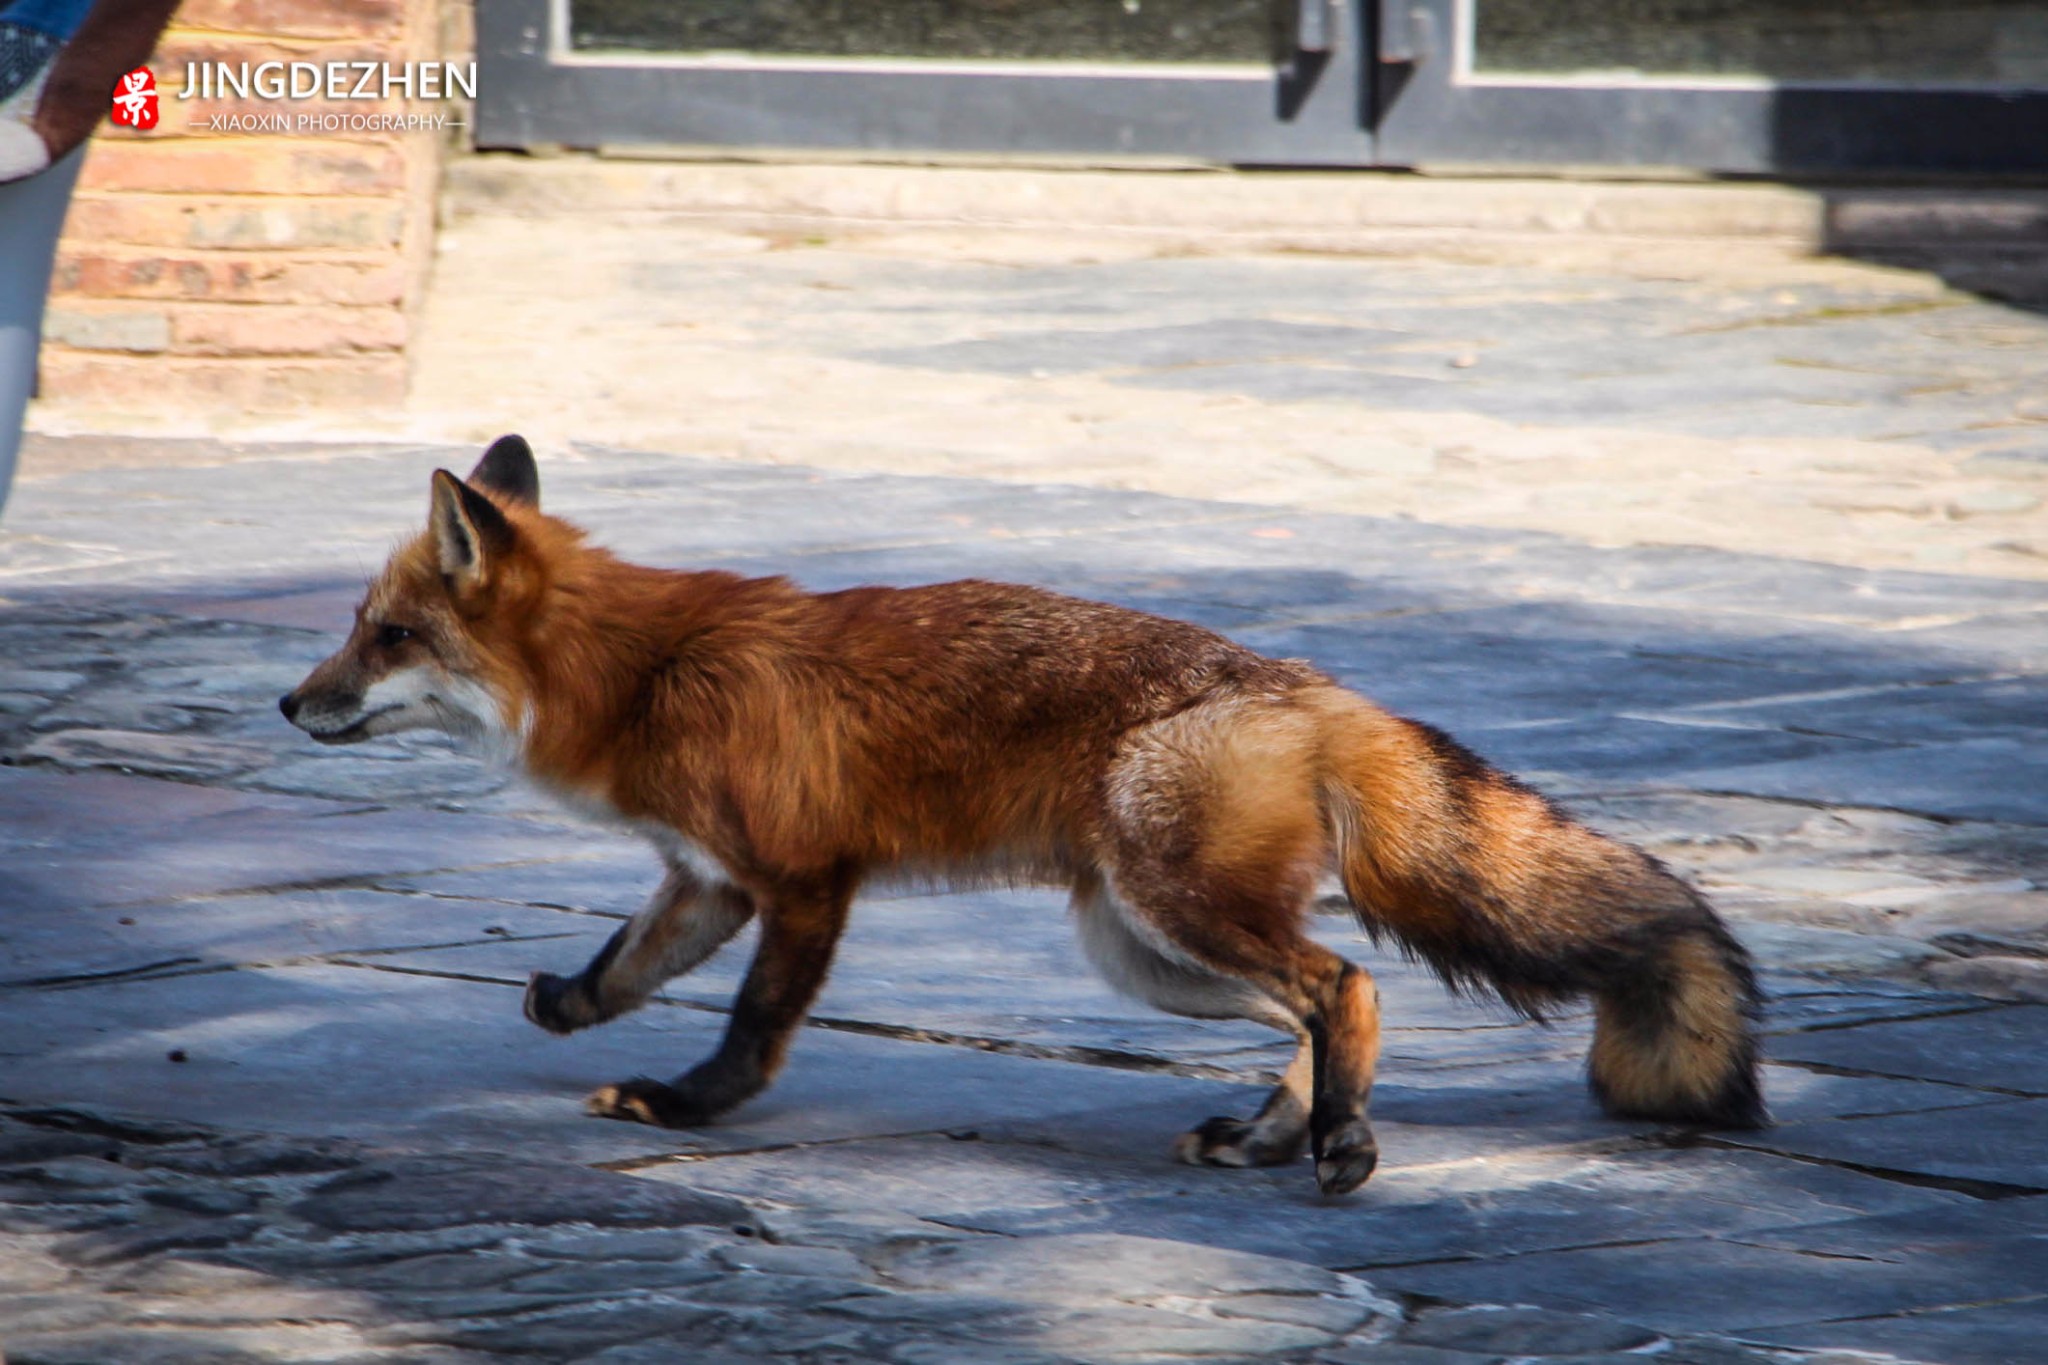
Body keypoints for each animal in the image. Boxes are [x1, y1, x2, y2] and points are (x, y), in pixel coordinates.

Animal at [280, 439, 1769, 1195]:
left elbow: (752, 1028)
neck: (641, 671)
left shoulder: (804, 880)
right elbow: (620, 966)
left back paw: (1337, 1148)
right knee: (1320, 1008)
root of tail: (1317, 687)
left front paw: (688, 1108)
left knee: (1343, 986)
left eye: (385, 637)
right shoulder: (707, 875)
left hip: (1173, 912)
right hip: (1144, 952)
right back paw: (1272, 1135)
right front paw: (571, 1011)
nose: (289, 704)